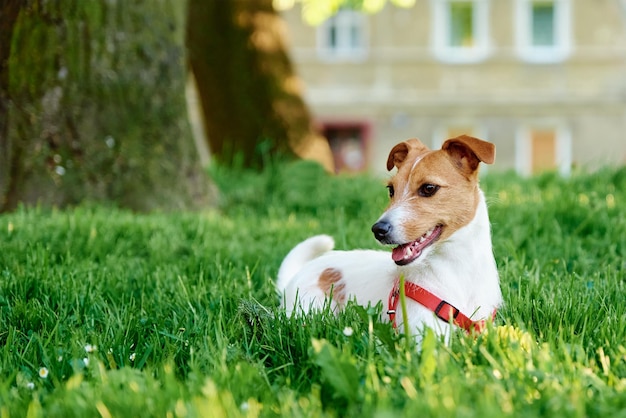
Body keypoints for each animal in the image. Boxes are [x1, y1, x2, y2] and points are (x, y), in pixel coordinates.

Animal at [276, 136, 500, 342]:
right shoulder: (425, 337)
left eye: (429, 188)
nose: (378, 229)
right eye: (391, 190)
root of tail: (295, 277)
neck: (457, 271)